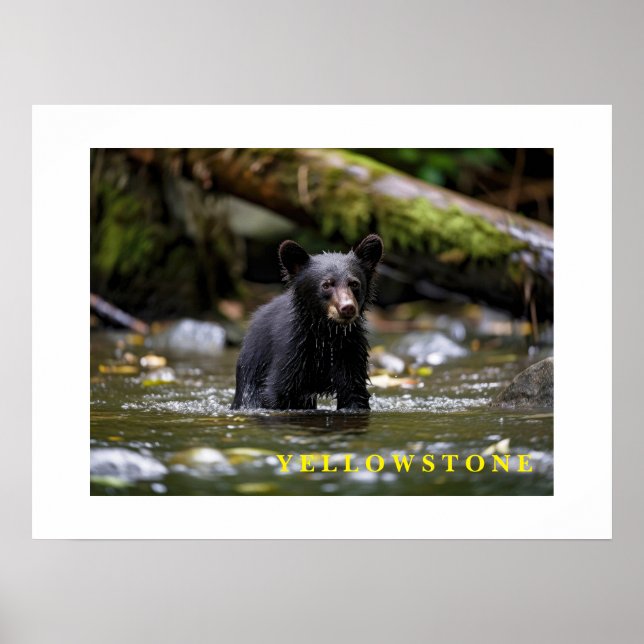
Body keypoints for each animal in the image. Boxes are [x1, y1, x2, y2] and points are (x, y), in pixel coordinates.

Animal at [231, 234, 384, 411]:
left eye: (354, 283)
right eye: (326, 285)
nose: (347, 308)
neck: (327, 333)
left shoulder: (350, 352)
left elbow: (354, 393)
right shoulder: (291, 353)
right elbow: (277, 392)